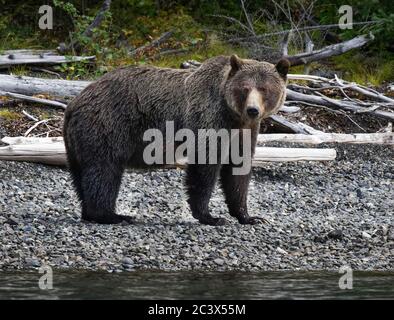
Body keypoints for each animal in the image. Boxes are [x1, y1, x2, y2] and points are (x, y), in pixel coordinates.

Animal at [63, 54, 288, 225]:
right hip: (108, 125)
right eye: (244, 88)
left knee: (82, 174)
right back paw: (113, 215)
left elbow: (238, 171)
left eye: (264, 89)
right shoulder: (209, 120)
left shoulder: (244, 132)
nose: (253, 110)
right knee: (105, 170)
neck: (233, 116)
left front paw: (249, 216)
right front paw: (211, 217)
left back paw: (89, 212)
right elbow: (204, 167)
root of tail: (73, 104)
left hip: (78, 141)